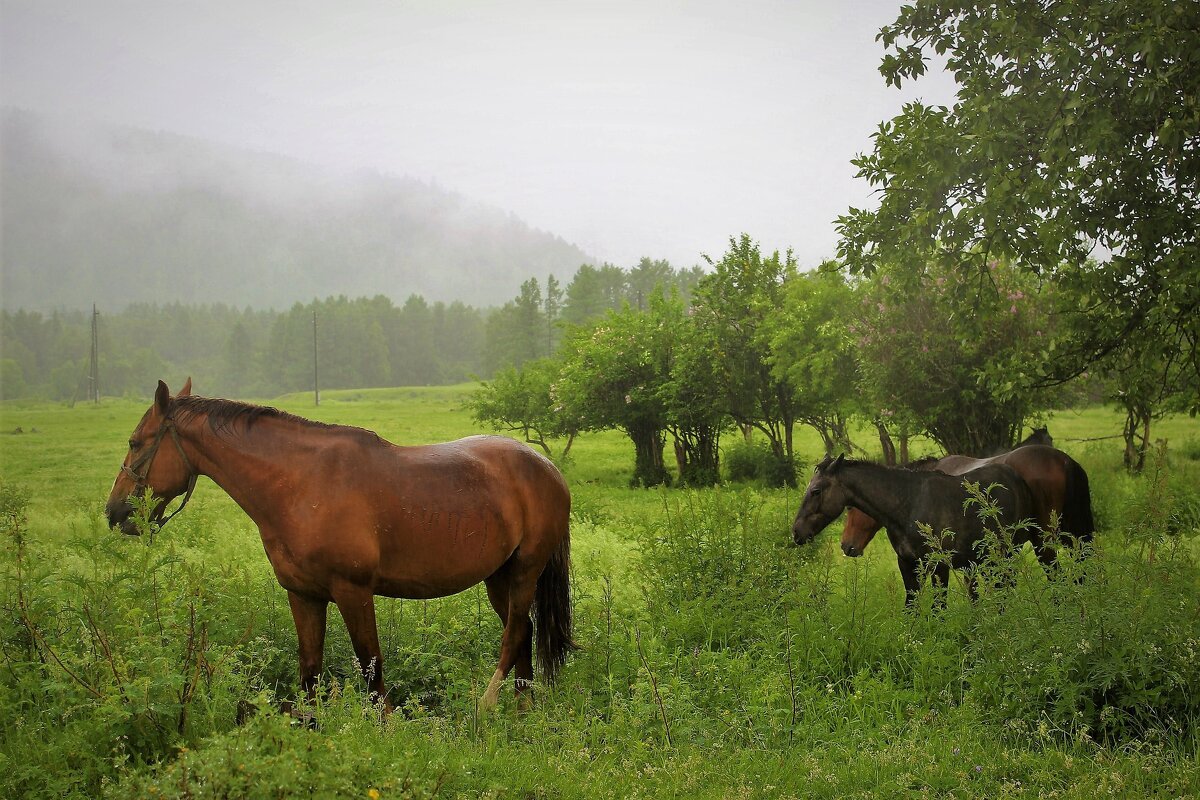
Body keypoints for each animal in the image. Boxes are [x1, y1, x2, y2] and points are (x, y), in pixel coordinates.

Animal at [105, 381, 573, 714]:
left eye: (134, 441)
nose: (114, 512)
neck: (300, 485)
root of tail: (547, 468)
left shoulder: (353, 592)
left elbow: (371, 668)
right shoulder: (304, 595)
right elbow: (310, 671)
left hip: (525, 572)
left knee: (513, 636)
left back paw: (488, 705)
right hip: (499, 578)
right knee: (524, 631)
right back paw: (523, 709)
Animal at [792, 455, 1036, 606]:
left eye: (816, 491)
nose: (796, 532)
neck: (908, 504)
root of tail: (1016, 479)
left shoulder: (939, 566)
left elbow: (939, 608)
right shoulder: (908, 564)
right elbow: (911, 607)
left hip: (1008, 554)